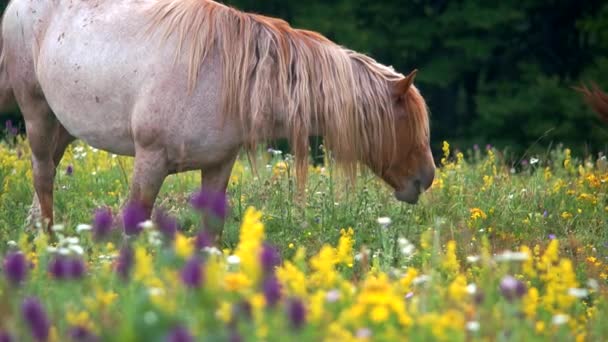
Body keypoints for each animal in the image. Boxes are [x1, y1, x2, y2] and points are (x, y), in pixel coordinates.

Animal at [2, 0, 434, 238]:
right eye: (406, 124)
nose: (427, 178)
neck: (225, 75)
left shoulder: (218, 166)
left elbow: (209, 235)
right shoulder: (150, 160)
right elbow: (135, 222)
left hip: (63, 125)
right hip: (37, 112)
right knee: (42, 174)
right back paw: (46, 241)